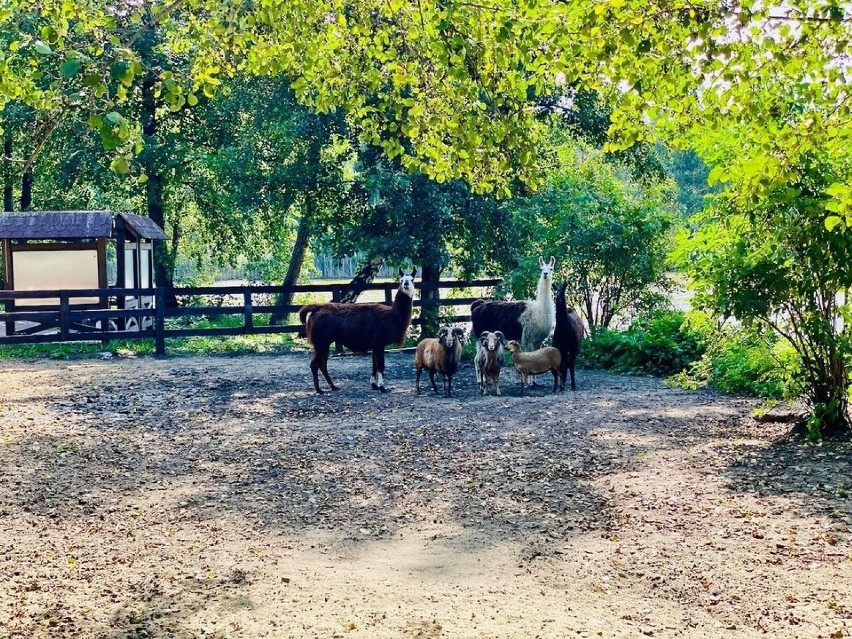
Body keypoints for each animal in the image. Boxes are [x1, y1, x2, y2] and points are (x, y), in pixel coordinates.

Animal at [298, 266, 418, 396]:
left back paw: (333, 386)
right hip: (321, 341)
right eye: (401, 280)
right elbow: (381, 366)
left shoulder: (375, 344)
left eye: (412, 279)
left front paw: (374, 385)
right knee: (315, 364)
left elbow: (374, 365)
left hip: (324, 342)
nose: (406, 284)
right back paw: (319, 390)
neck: (393, 316)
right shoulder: (379, 342)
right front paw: (382, 387)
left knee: (322, 364)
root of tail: (317, 308)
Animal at [470, 255, 556, 384]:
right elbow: (530, 358)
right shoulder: (529, 339)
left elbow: (536, 357)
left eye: (551, 268)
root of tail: (477, 306)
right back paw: (480, 381)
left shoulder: (538, 340)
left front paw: (535, 381)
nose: (545, 274)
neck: (539, 310)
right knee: (476, 359)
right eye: (541, 269)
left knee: (478, 358)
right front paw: (530, 383)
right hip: (480, 338)